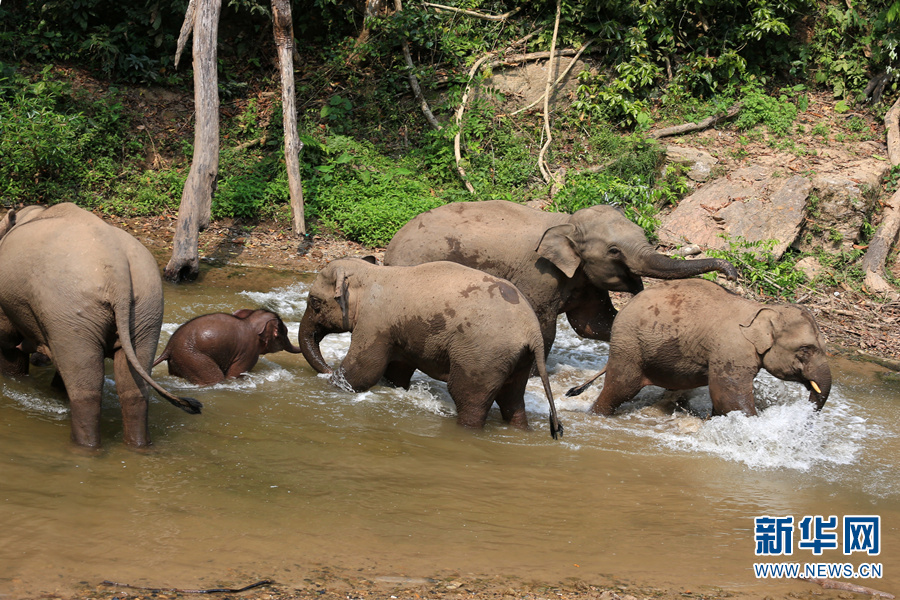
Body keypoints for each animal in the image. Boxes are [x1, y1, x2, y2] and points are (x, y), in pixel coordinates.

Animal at [0, 204, 200, 448]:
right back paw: (139, 446)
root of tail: (118, 272)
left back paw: (85, 447)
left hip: (71, 310)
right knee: (134, 388)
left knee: (86, 391)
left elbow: (7, 340)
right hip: (147, 308)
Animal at [155, 308, 306, 386]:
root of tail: (168, 347)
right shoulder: (249, 352)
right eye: (284, 333)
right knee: (214, 378)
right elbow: (234, 375)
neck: (249, 321)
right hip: (192, 357)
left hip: (179, 360)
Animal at [296, 256, 564, 436]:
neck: (371, 274)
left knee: (468, 396)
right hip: (518, 358)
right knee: (513, 398)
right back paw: (521, 430)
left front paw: (331, 385)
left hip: (482, 356)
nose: (327, 368)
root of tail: (532, 331)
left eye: (314, 302)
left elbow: (364, 370)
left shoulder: (375, 322)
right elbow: (397, 371)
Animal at [382, 199, 740, 356]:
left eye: (642, 234)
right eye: (614, 251)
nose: (733, 275)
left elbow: (593, 324)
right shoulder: (540, 275)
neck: (567, 221)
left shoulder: (582, 277)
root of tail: (389, 249)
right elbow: (544, 325)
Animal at [580, 278, 832, 414]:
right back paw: (596, 416)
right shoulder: (730, 351)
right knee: (621, 389)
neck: (762, 309)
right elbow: (728, 397)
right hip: (629, 345)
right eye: (805, 350)